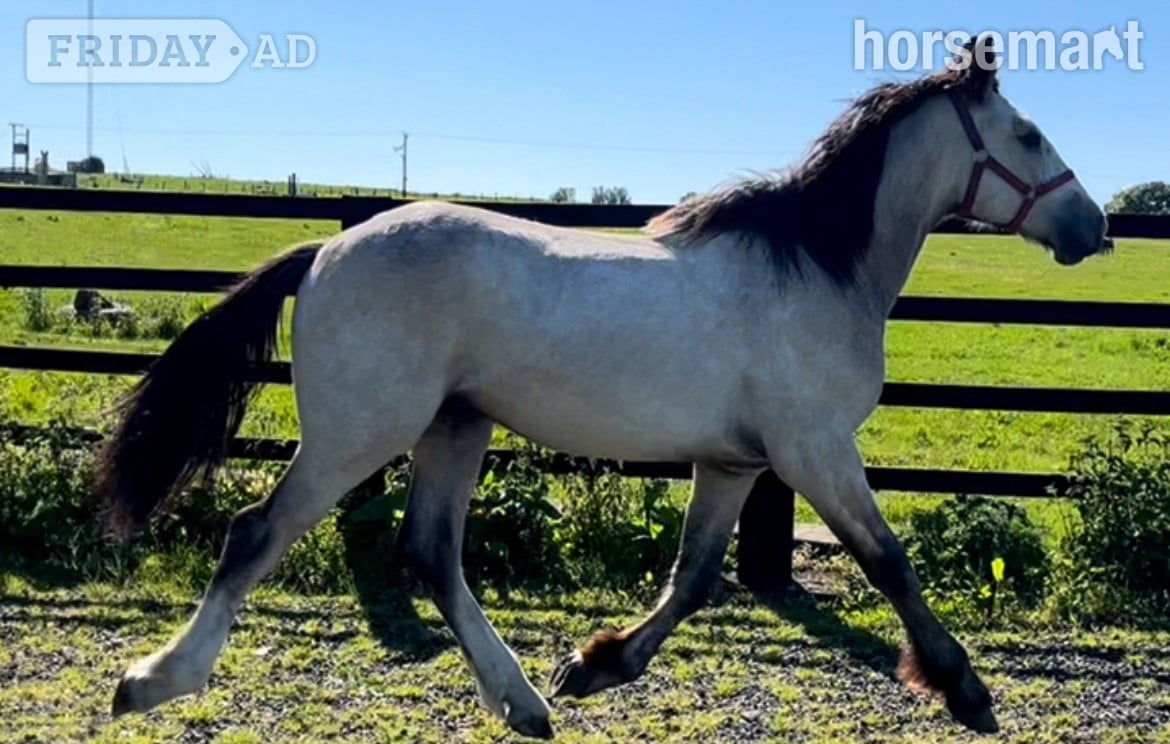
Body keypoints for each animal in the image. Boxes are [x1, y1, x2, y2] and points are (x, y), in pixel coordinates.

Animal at [94, 36, 1111, 739]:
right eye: (1028, 133)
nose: (1093, 226)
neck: (819, 269)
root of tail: (323, 252)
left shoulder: (737, 464)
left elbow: (694, 577)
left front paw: (596, 666)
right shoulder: (814, 450)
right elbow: (888, 562)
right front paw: (966, 689)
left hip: (453, 429)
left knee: (430, 553)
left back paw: (526, 702)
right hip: (359, 434)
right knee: (256, 533)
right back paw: (152, 682)